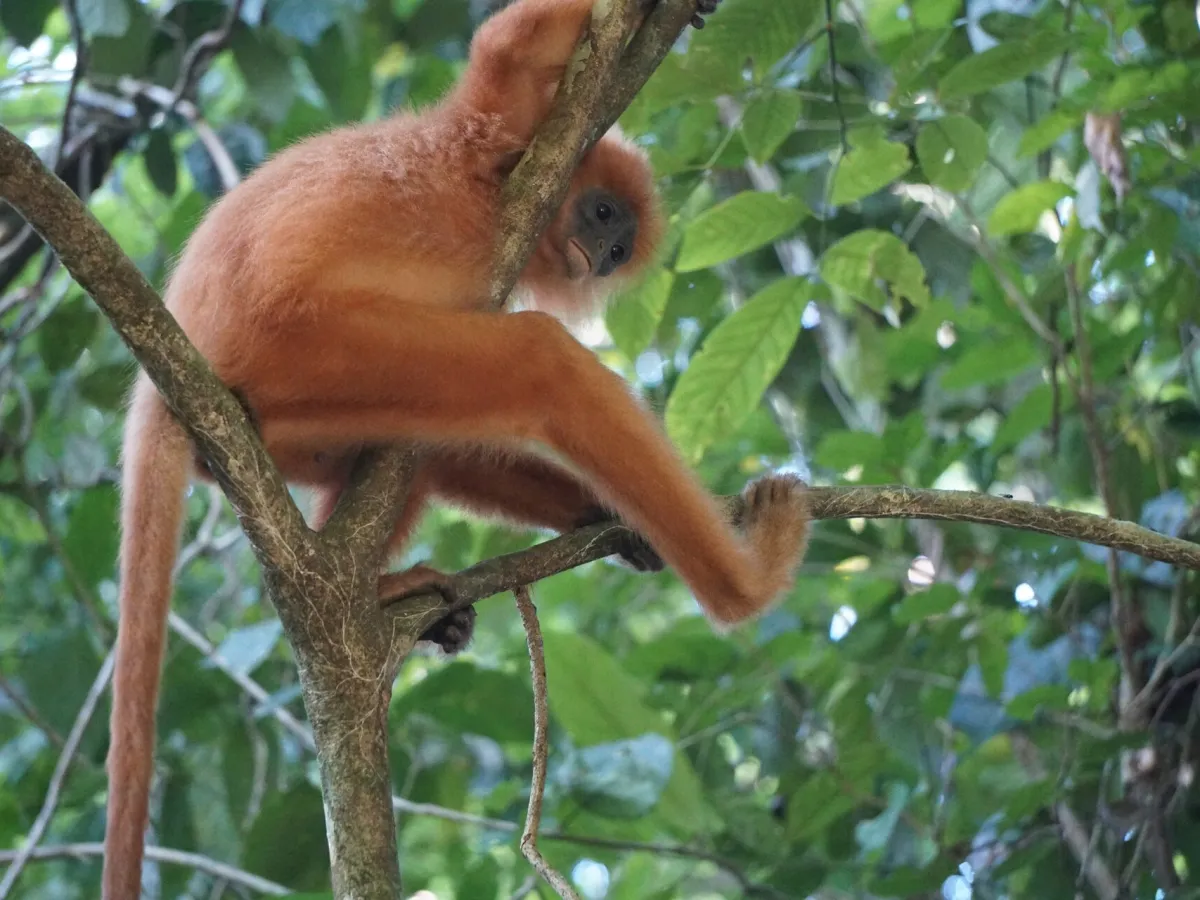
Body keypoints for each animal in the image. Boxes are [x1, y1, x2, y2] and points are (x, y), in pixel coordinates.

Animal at [104, 0, 810, 896]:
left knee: (429, 448)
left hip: (303, 402)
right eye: (604, 216)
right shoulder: (490, 132)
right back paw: (748, 586)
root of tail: (166, 388)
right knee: (541, 364)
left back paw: (373, 593)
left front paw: (614, 522)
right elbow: (509, 49)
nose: (604, 256)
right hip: (308, 343)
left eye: (620, 249)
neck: (487, 196)